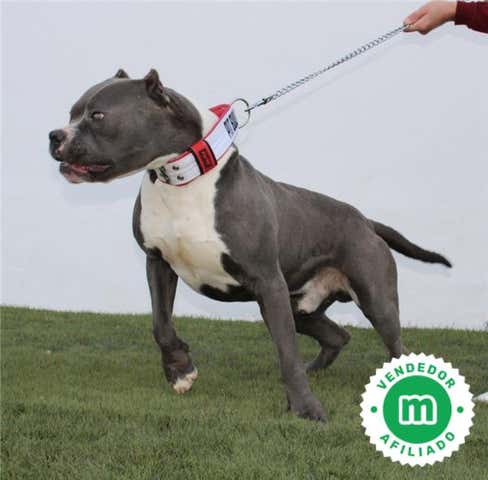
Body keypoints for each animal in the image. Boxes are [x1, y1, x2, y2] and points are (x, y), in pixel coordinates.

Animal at [49, 69, 451, 421]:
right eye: (72, 113)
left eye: (98, 115)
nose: (54, 135)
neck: (181, 180)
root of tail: (365, 221)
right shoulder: (158, 263)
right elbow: (160, 325)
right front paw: (180, 370)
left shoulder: (267, 282)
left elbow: (286, 353)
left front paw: (305, 408)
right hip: (300, 306)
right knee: (338, 334)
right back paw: (316, 368)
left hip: (371, 299)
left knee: (395, 345)